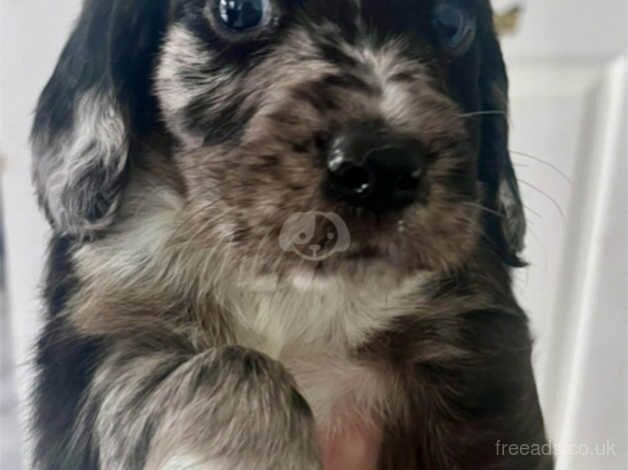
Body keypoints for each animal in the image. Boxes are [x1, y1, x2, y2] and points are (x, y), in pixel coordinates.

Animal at [30, 0, 548, 470]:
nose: (382, 168)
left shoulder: (478, 344)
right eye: (238, 11)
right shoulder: (99, 335)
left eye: (451, 21)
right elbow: (238, 364)